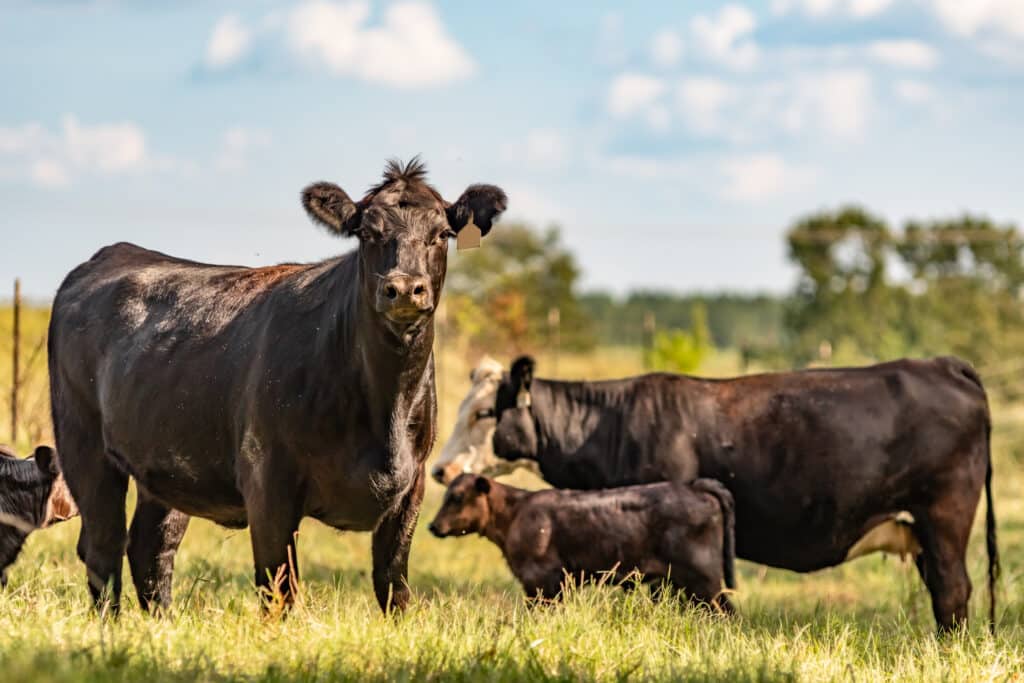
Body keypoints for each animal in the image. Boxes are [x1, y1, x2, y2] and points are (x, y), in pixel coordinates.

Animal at [47, 158, 507, 615]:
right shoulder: (268, 481)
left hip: (168, 463)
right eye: (368, 233)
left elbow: (394, 587)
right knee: (103, 546)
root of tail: (114, 253)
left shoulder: (412, 486)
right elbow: (279, 588)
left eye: (441, 234)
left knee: (151, 547)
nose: (405, 288)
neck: (384, 408)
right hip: (84, 443)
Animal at [428, 473, 736, 610]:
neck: (516, 512)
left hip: (703, 581)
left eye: (457, 497)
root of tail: (693, 486)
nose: (433, 526)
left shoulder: (542, 581)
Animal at [489, 355, 999, 634]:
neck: (610, 423)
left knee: (952, 589)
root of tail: (940, 364)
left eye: (485, 413)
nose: (458, 469)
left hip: (945, 513)